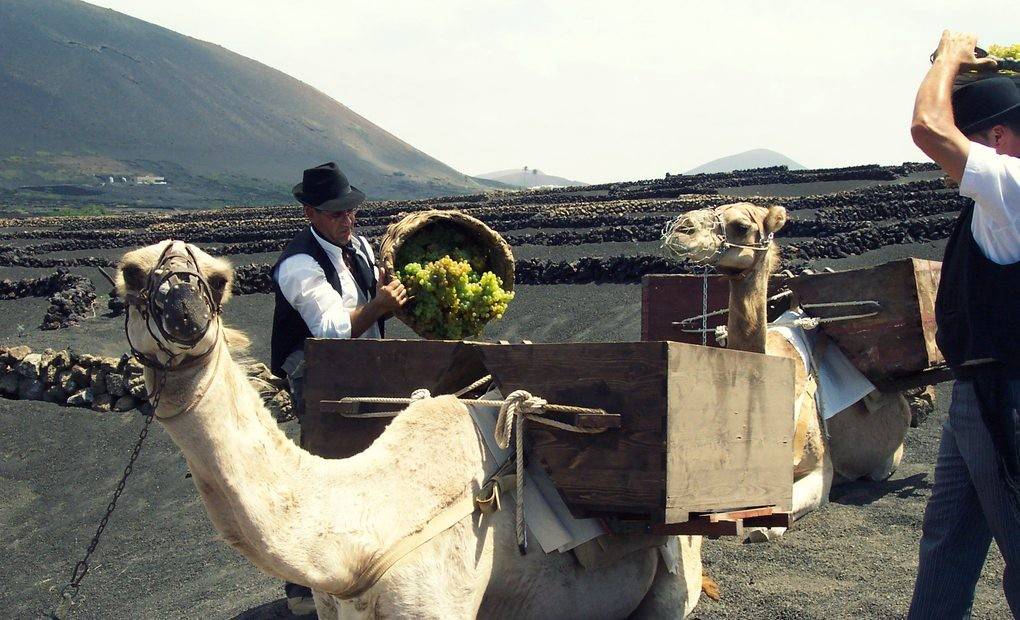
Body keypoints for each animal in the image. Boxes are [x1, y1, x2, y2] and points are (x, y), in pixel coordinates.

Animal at [665, 203, 913, 538]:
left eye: (741, 226)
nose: (681, 229)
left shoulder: (821, 470)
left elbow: (772, 522)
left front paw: (760, 526)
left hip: (889, 459)